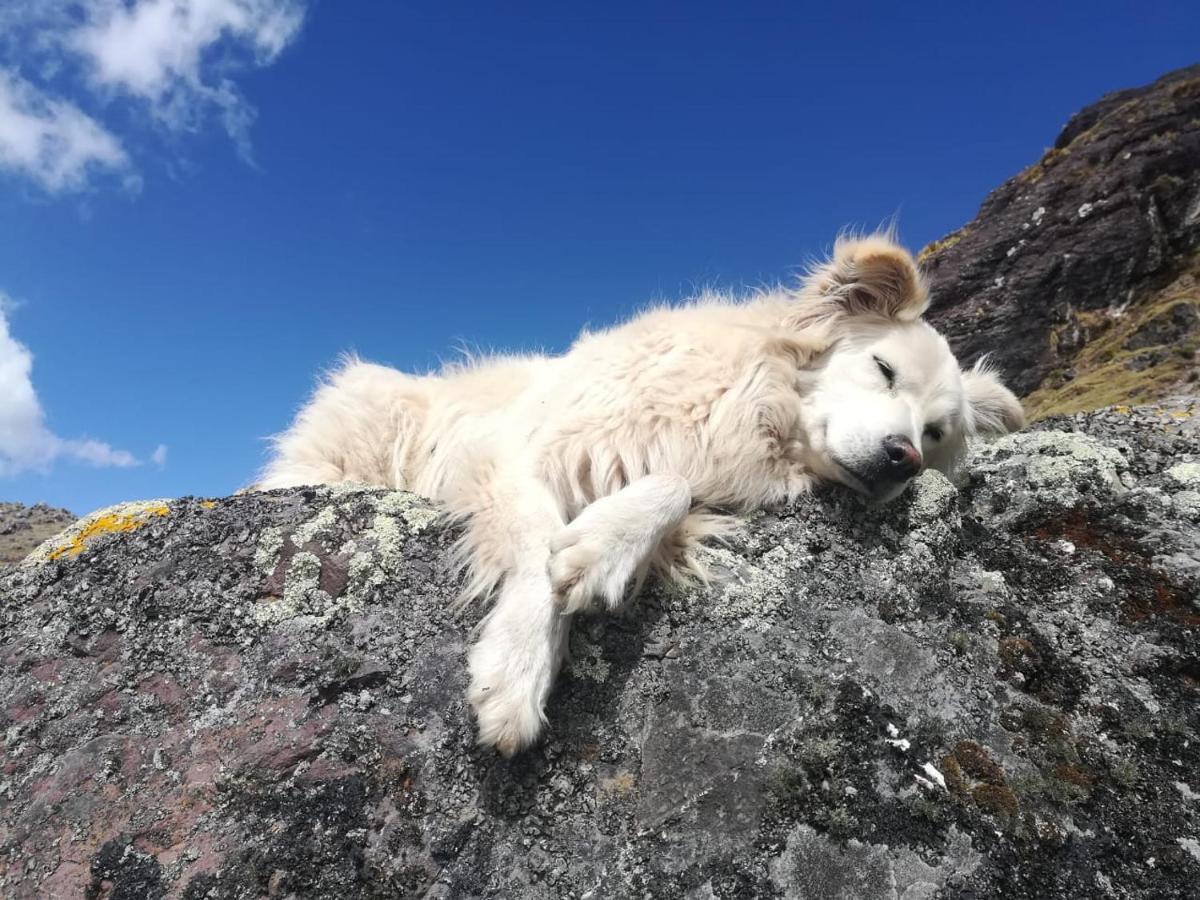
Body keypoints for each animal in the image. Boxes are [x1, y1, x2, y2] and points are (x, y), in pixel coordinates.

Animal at [260, 230, 1022, 753]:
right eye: (884, 368)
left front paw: (603, 549)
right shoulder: (510, 451)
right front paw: (518, 673)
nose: (903, 460)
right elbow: (535, 546)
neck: (750, 402)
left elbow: (670, 488)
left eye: (934, 434)